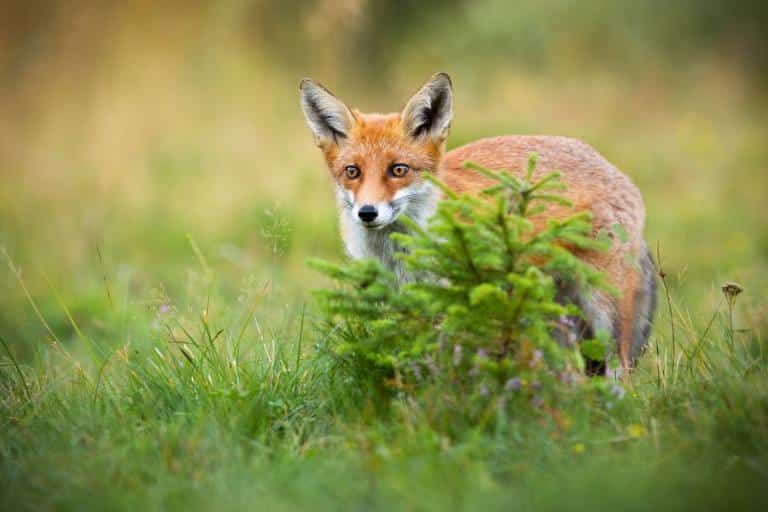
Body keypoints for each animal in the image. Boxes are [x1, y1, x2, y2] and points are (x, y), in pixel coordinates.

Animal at [298, 72, 656, 372]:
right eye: (352, 171)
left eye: (398, 170)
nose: (367, 212)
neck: (400, 254)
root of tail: (613, 168)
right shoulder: (407, 302)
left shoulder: (460, 299)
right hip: (554, 315)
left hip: (605, 312)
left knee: (620, 367)